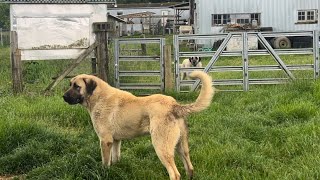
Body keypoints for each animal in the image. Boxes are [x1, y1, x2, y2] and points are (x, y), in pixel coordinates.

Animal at [62, 71, 214, 179]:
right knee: (190, 168)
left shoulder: (105, 141)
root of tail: (173, 105)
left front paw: (104, 173)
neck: (98, 97)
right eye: (70, 84)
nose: (63, 97)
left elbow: (105, 162)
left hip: (161, 147)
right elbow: (115, 158)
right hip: (181, 146)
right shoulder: (116, 141)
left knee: (175, 174)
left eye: (77, 87)